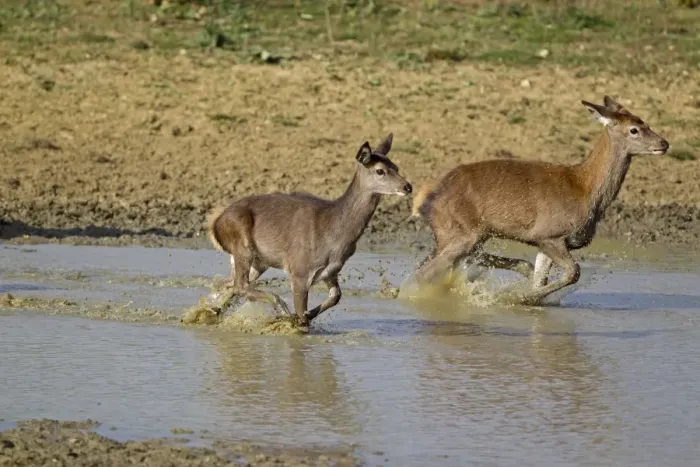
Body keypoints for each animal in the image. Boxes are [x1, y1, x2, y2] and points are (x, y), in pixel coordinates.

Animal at [207, 133, 412, 328]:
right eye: (380, 171)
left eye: (396, 167)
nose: (407, 186)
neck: (334, 236)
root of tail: (215, 223)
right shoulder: (300, 269)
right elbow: (302, 316)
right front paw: (292, 318)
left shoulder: (331, 270)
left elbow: (335, 297)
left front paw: (305, 315)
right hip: (241, 243)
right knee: (238, 285)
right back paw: (279, 307)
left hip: (258, 261)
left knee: (225, 285)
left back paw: (209, 312)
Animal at [409, 96, 669, 304]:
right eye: (634, 129)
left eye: (646, 122)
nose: (664, 143)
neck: (586, 191)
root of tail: (424, 201)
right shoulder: (549, 233)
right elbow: (573, 272)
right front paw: (520, 298)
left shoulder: (546, 243)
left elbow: (541, 276)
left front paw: (528, 297)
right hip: (460, 231)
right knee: (425, 272)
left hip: (463, 234)